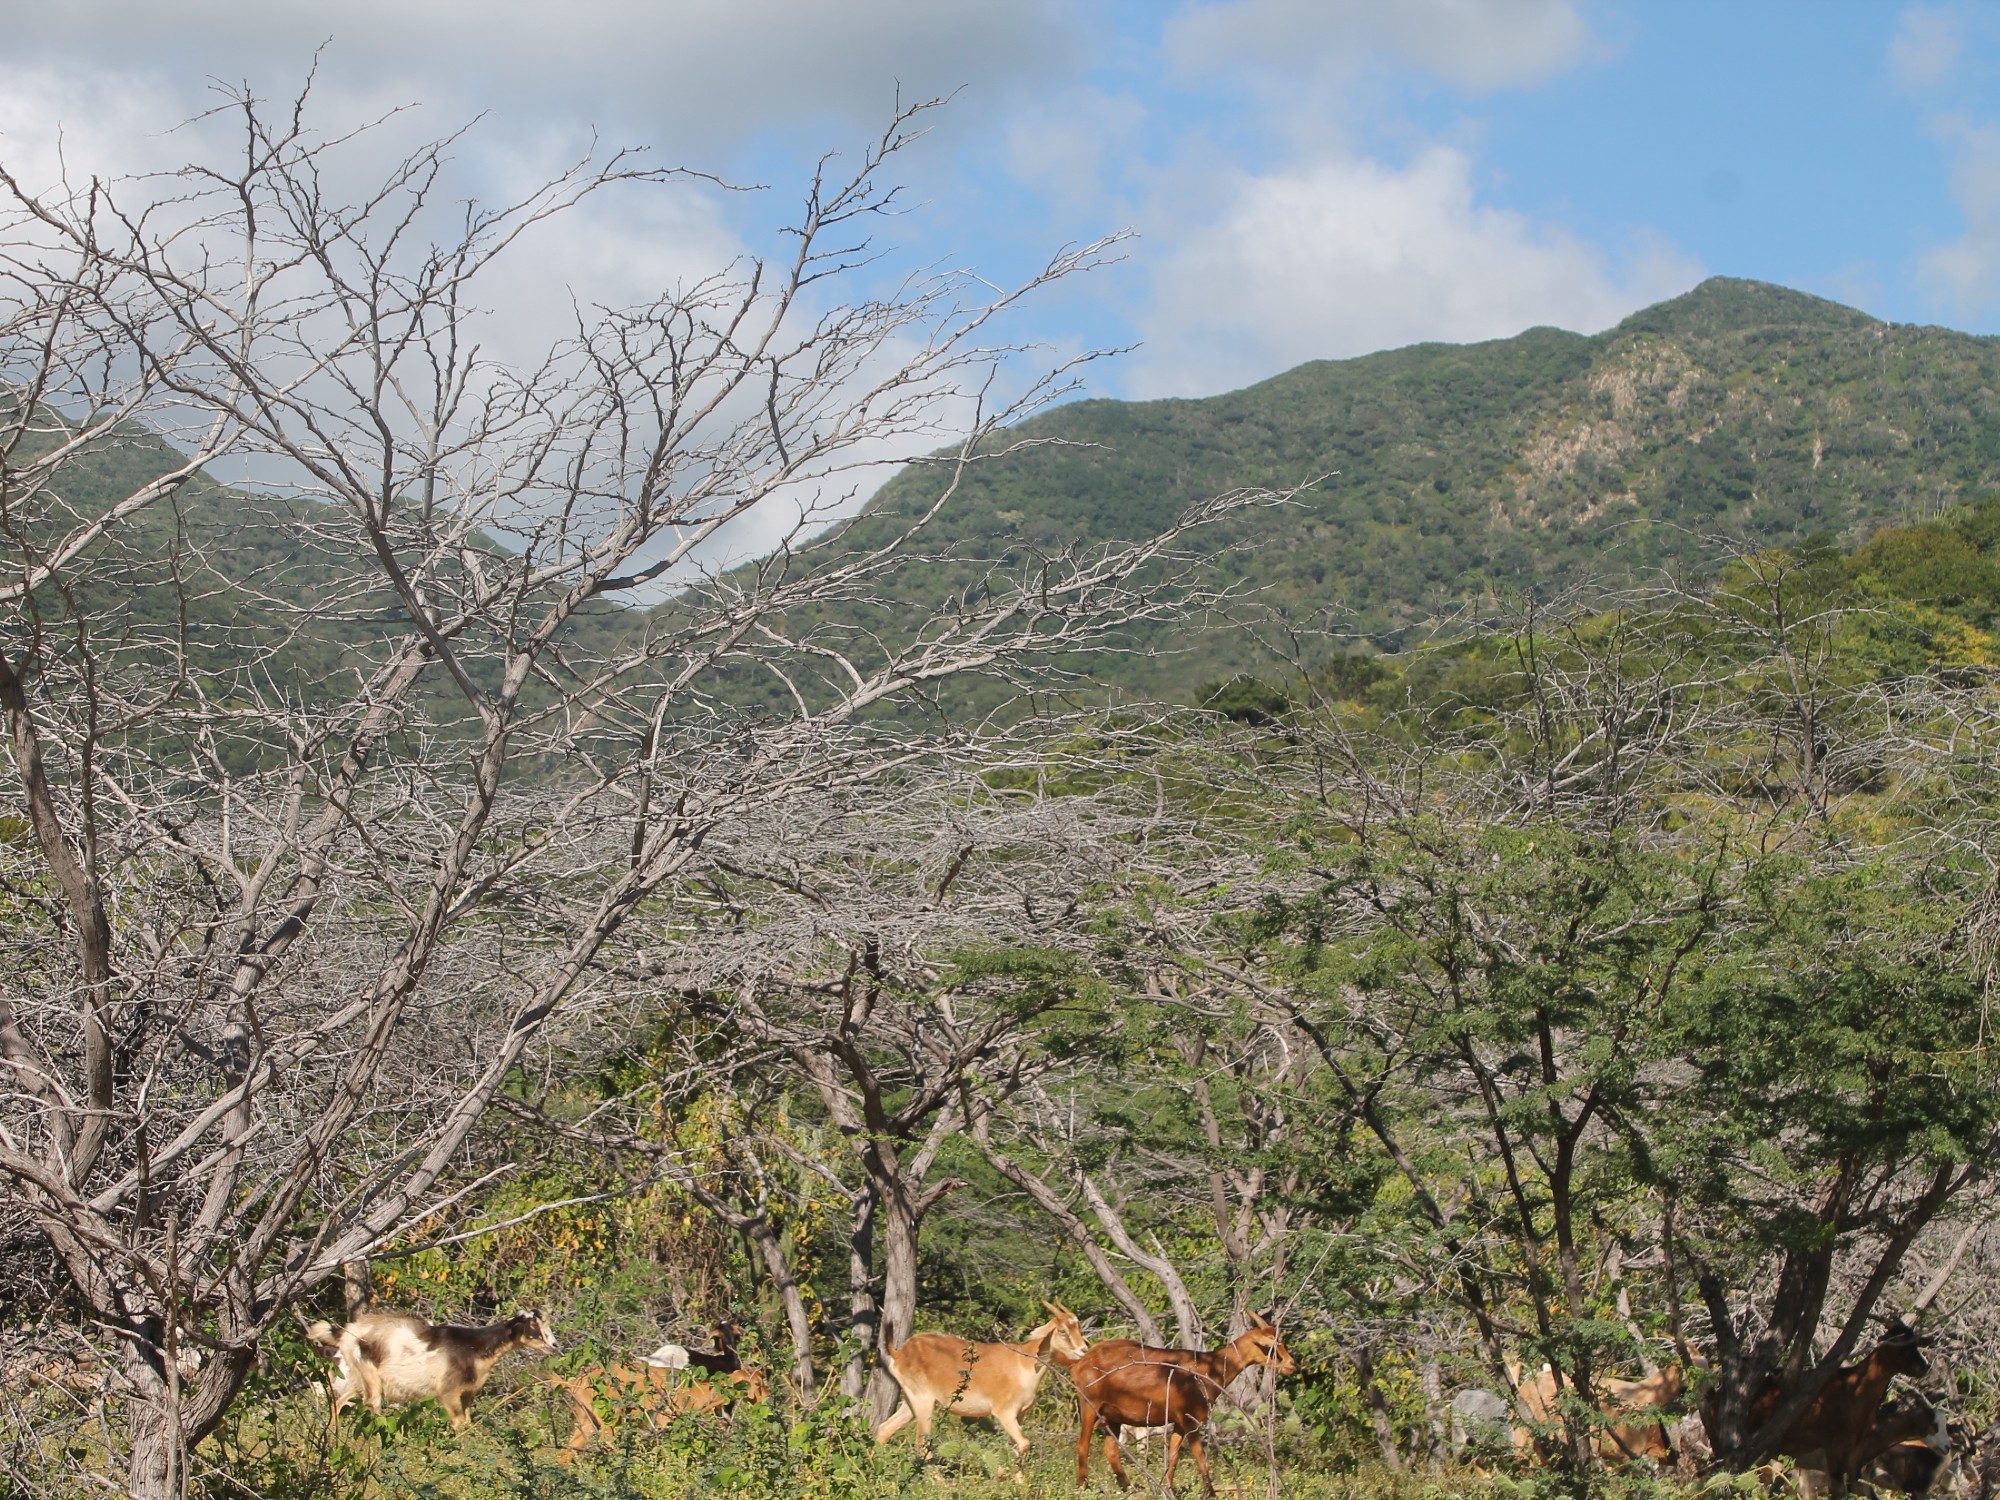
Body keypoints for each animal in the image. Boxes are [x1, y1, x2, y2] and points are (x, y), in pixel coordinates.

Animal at [330, 1304, 556, 1432]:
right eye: (532, 1326)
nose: (554, 1345)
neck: (473, 1348)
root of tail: (348, 1332)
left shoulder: (467, 1394)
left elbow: (467, 1423)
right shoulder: (449, 1392)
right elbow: (458, 1423)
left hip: (357, 1380)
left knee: (339, 1402)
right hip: (369, 1378)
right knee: (372, 1408)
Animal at [880, 1296, 1096, 1464]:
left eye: (1078, 1327)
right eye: (1062, 1330)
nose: (1083, 1350)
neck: (1023, 1363)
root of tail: (900, 1352)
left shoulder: (1019, 1416)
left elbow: (1018, 1447)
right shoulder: (1003, 1412)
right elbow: (1024, 1444)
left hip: (912, 1402)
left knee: (884, 1430)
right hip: (923, 1402)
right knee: (922, 1444)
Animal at [1064, 1312, 1296, 1496]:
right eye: (1270, 1346)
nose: (1291, 1364)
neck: (1208, 1369)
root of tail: (1079, 1362)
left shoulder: (1178, 1423)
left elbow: (1173, 1458)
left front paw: (1168, 1489)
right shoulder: (1190, 1420)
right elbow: (1201, 1458)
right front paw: (1210, 1493)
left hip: (1113, 1416)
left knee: (1110, 1450)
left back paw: (1129, 1488)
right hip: (1089, 1405)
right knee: (1083, 1445)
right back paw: (1082, 1487)